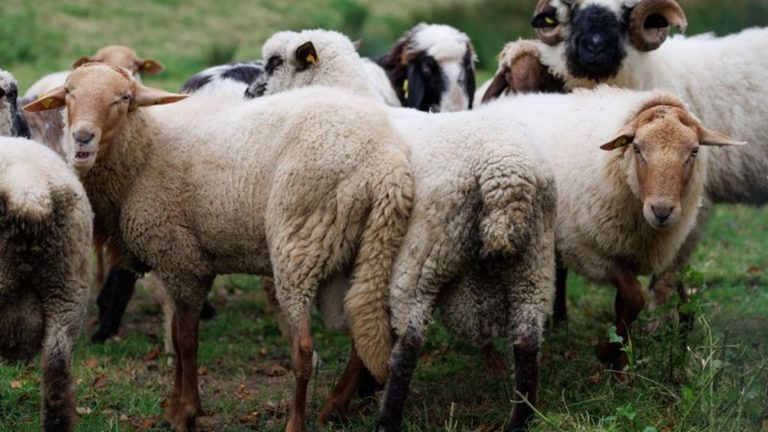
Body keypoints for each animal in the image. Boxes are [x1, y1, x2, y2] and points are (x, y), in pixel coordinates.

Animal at [25, 61, 414, 432]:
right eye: (69, 94)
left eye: (123, 98)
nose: (82, 138)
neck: (146, 149)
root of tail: (387, 165)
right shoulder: (178, 263)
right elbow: (177, 338)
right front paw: (177, 409)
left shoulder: (181, 260)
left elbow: (185, 341)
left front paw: (184, 413)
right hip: (368, 249)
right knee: (364, 335)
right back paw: (334, 408)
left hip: (300, 243)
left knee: (304, 349)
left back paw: (297, 422)